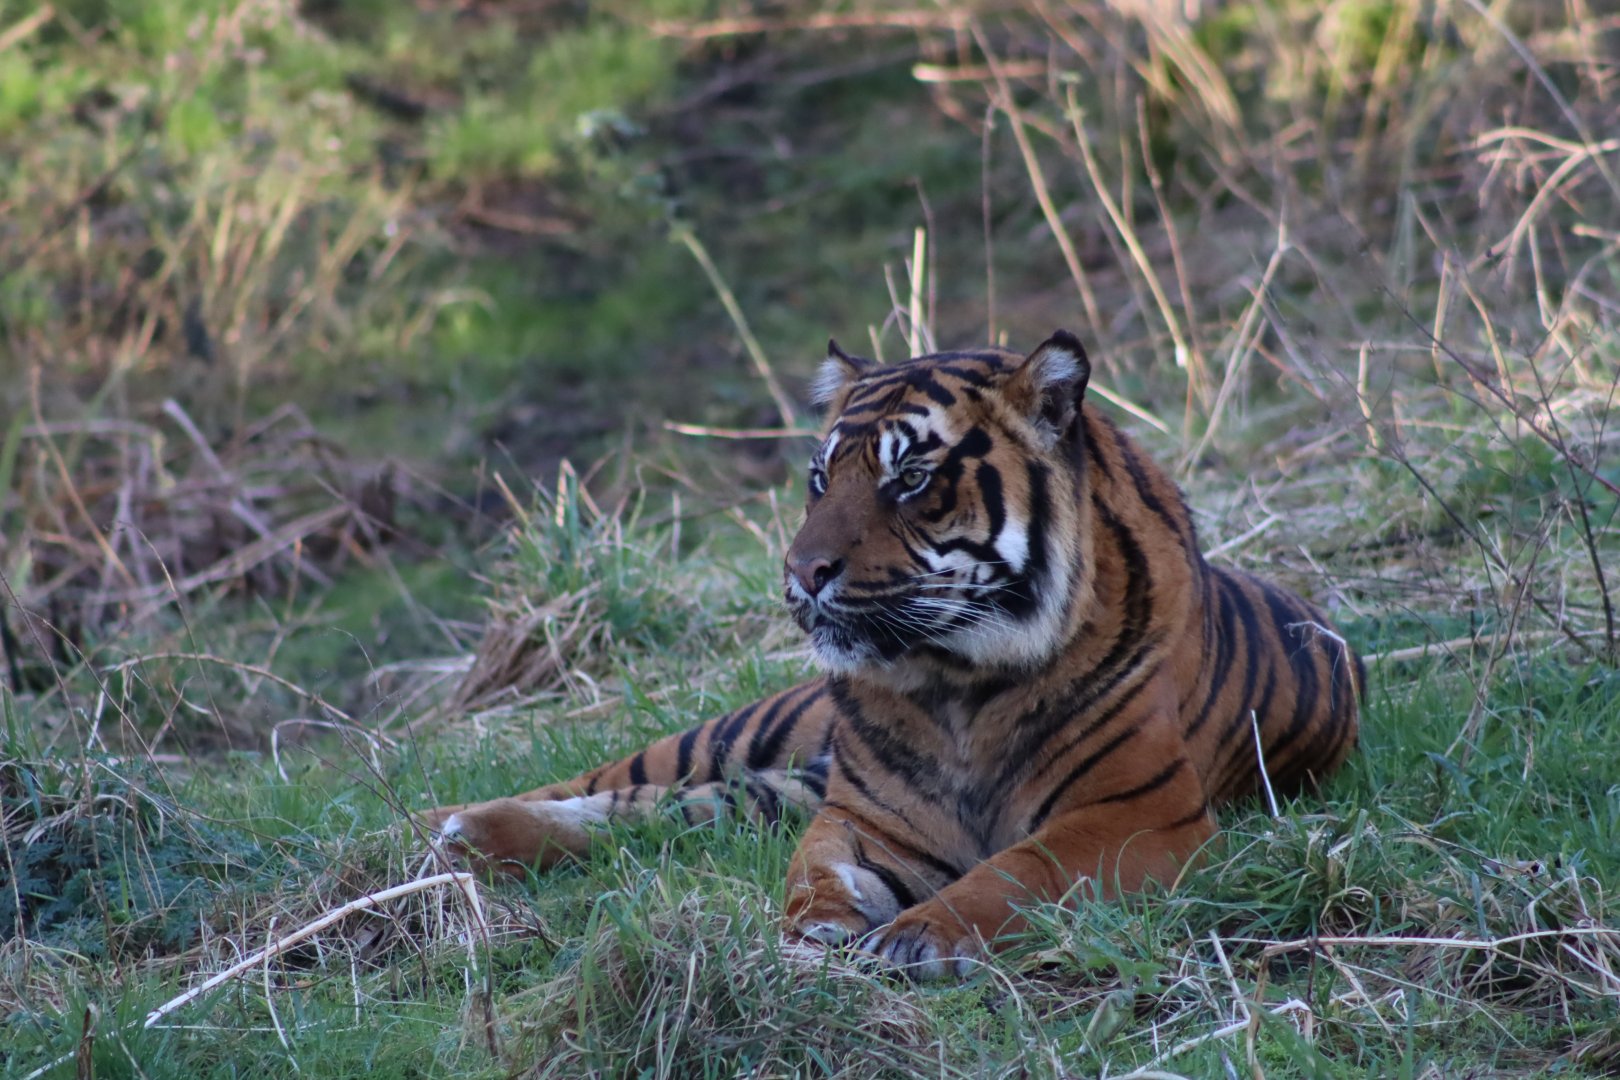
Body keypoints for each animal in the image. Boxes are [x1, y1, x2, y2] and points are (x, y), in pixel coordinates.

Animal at [422, 330, 1363, 979]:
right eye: (818, 479)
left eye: (908, 478)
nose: (800, 571)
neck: (957, 681)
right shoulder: (864, 816)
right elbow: (820, 872)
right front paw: (821, 928)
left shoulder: (1135, 813)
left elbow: (1016, 873)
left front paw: (917, 937)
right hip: (749, 734)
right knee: (611, 785)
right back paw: (444, 831)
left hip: (773, 784)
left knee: (665, 810)